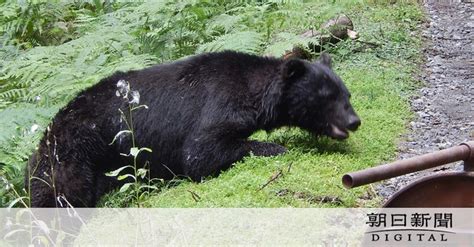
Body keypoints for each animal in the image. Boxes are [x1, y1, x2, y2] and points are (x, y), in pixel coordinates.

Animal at [26, 51, 360, 207]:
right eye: (327, 97)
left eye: (346, 94)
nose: (354, 121)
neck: (252, 91)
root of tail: (48, 131)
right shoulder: (217, 103)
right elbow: (200, 153)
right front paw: (274, 146)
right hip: (76, 150)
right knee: (59, 193)